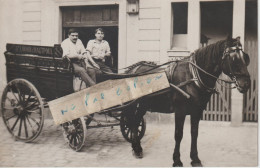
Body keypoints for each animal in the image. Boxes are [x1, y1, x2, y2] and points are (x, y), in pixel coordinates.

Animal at [123, 36, 250, 167]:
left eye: (245, 57)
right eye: (233, 58)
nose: (246, 84)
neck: (193, 76)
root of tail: (132, 70)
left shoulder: (197, 111)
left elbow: (194, 133)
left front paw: (195, 158)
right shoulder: (180, 111)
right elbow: (178, 134)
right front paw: (177, 160)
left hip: (143, 105)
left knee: (135, 122)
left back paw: (137, 148)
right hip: (133, 105)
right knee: (132, 122)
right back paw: (136, 149)